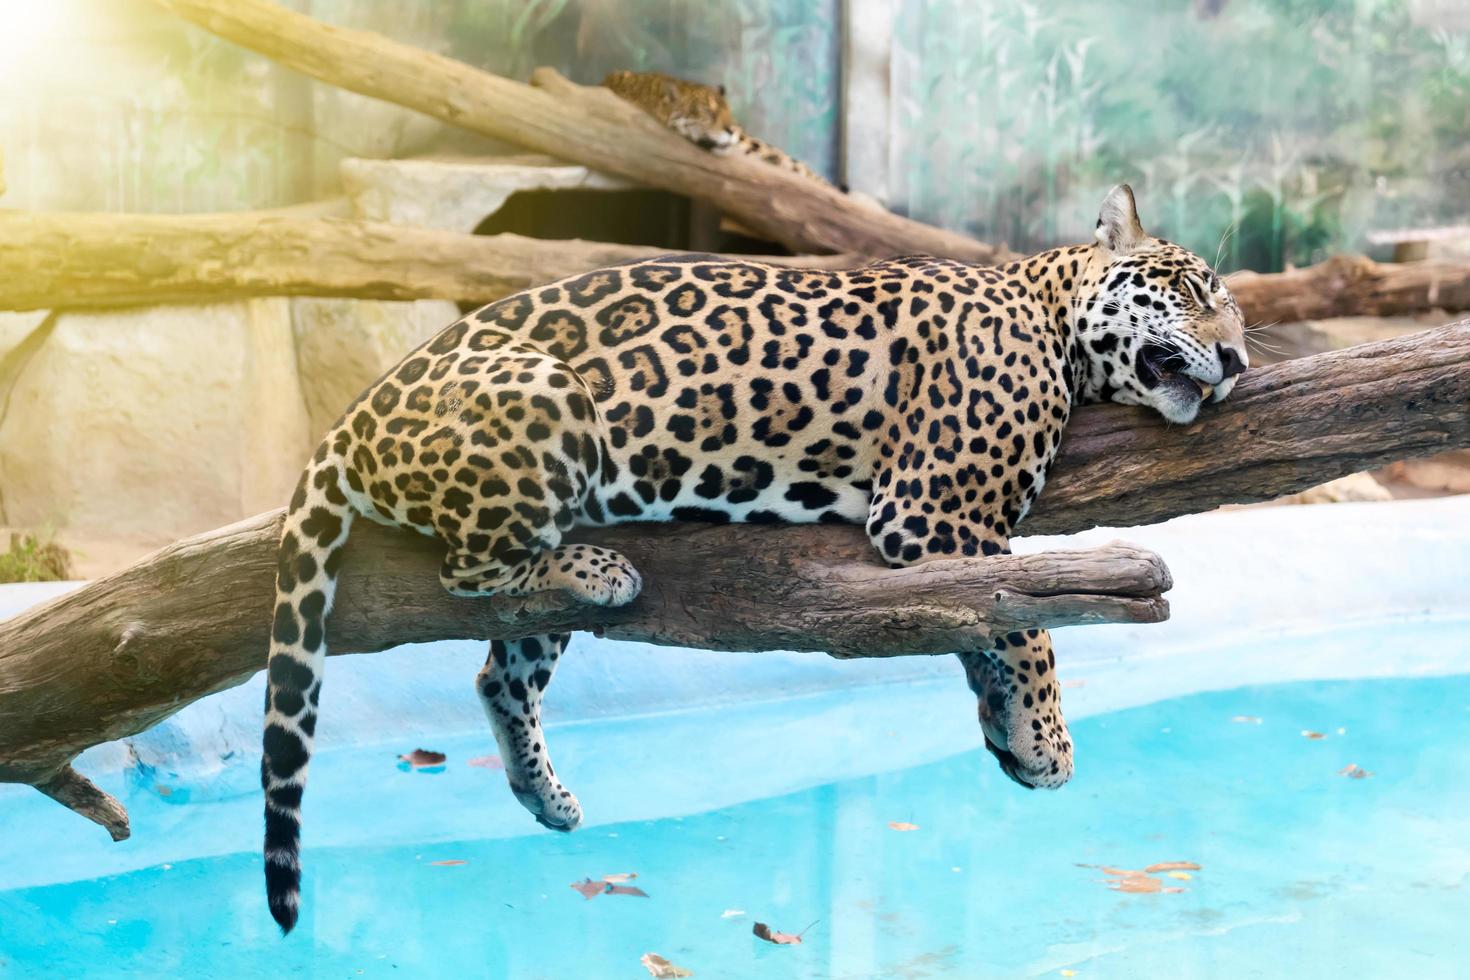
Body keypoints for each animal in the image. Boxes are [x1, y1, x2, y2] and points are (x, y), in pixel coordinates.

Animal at [258, 185, 1246, 934]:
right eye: (1194, 289)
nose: (1237, 357)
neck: (1046, 312)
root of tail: (352, 415)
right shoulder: (929, 509)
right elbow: (1024, 627)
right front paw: (1046, 735)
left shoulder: (946, 534)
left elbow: (983, 622)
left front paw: (1009, 735)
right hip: (551, 400)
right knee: (470, 573)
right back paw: (595, 572)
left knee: (499, 674)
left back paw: (548, 794)